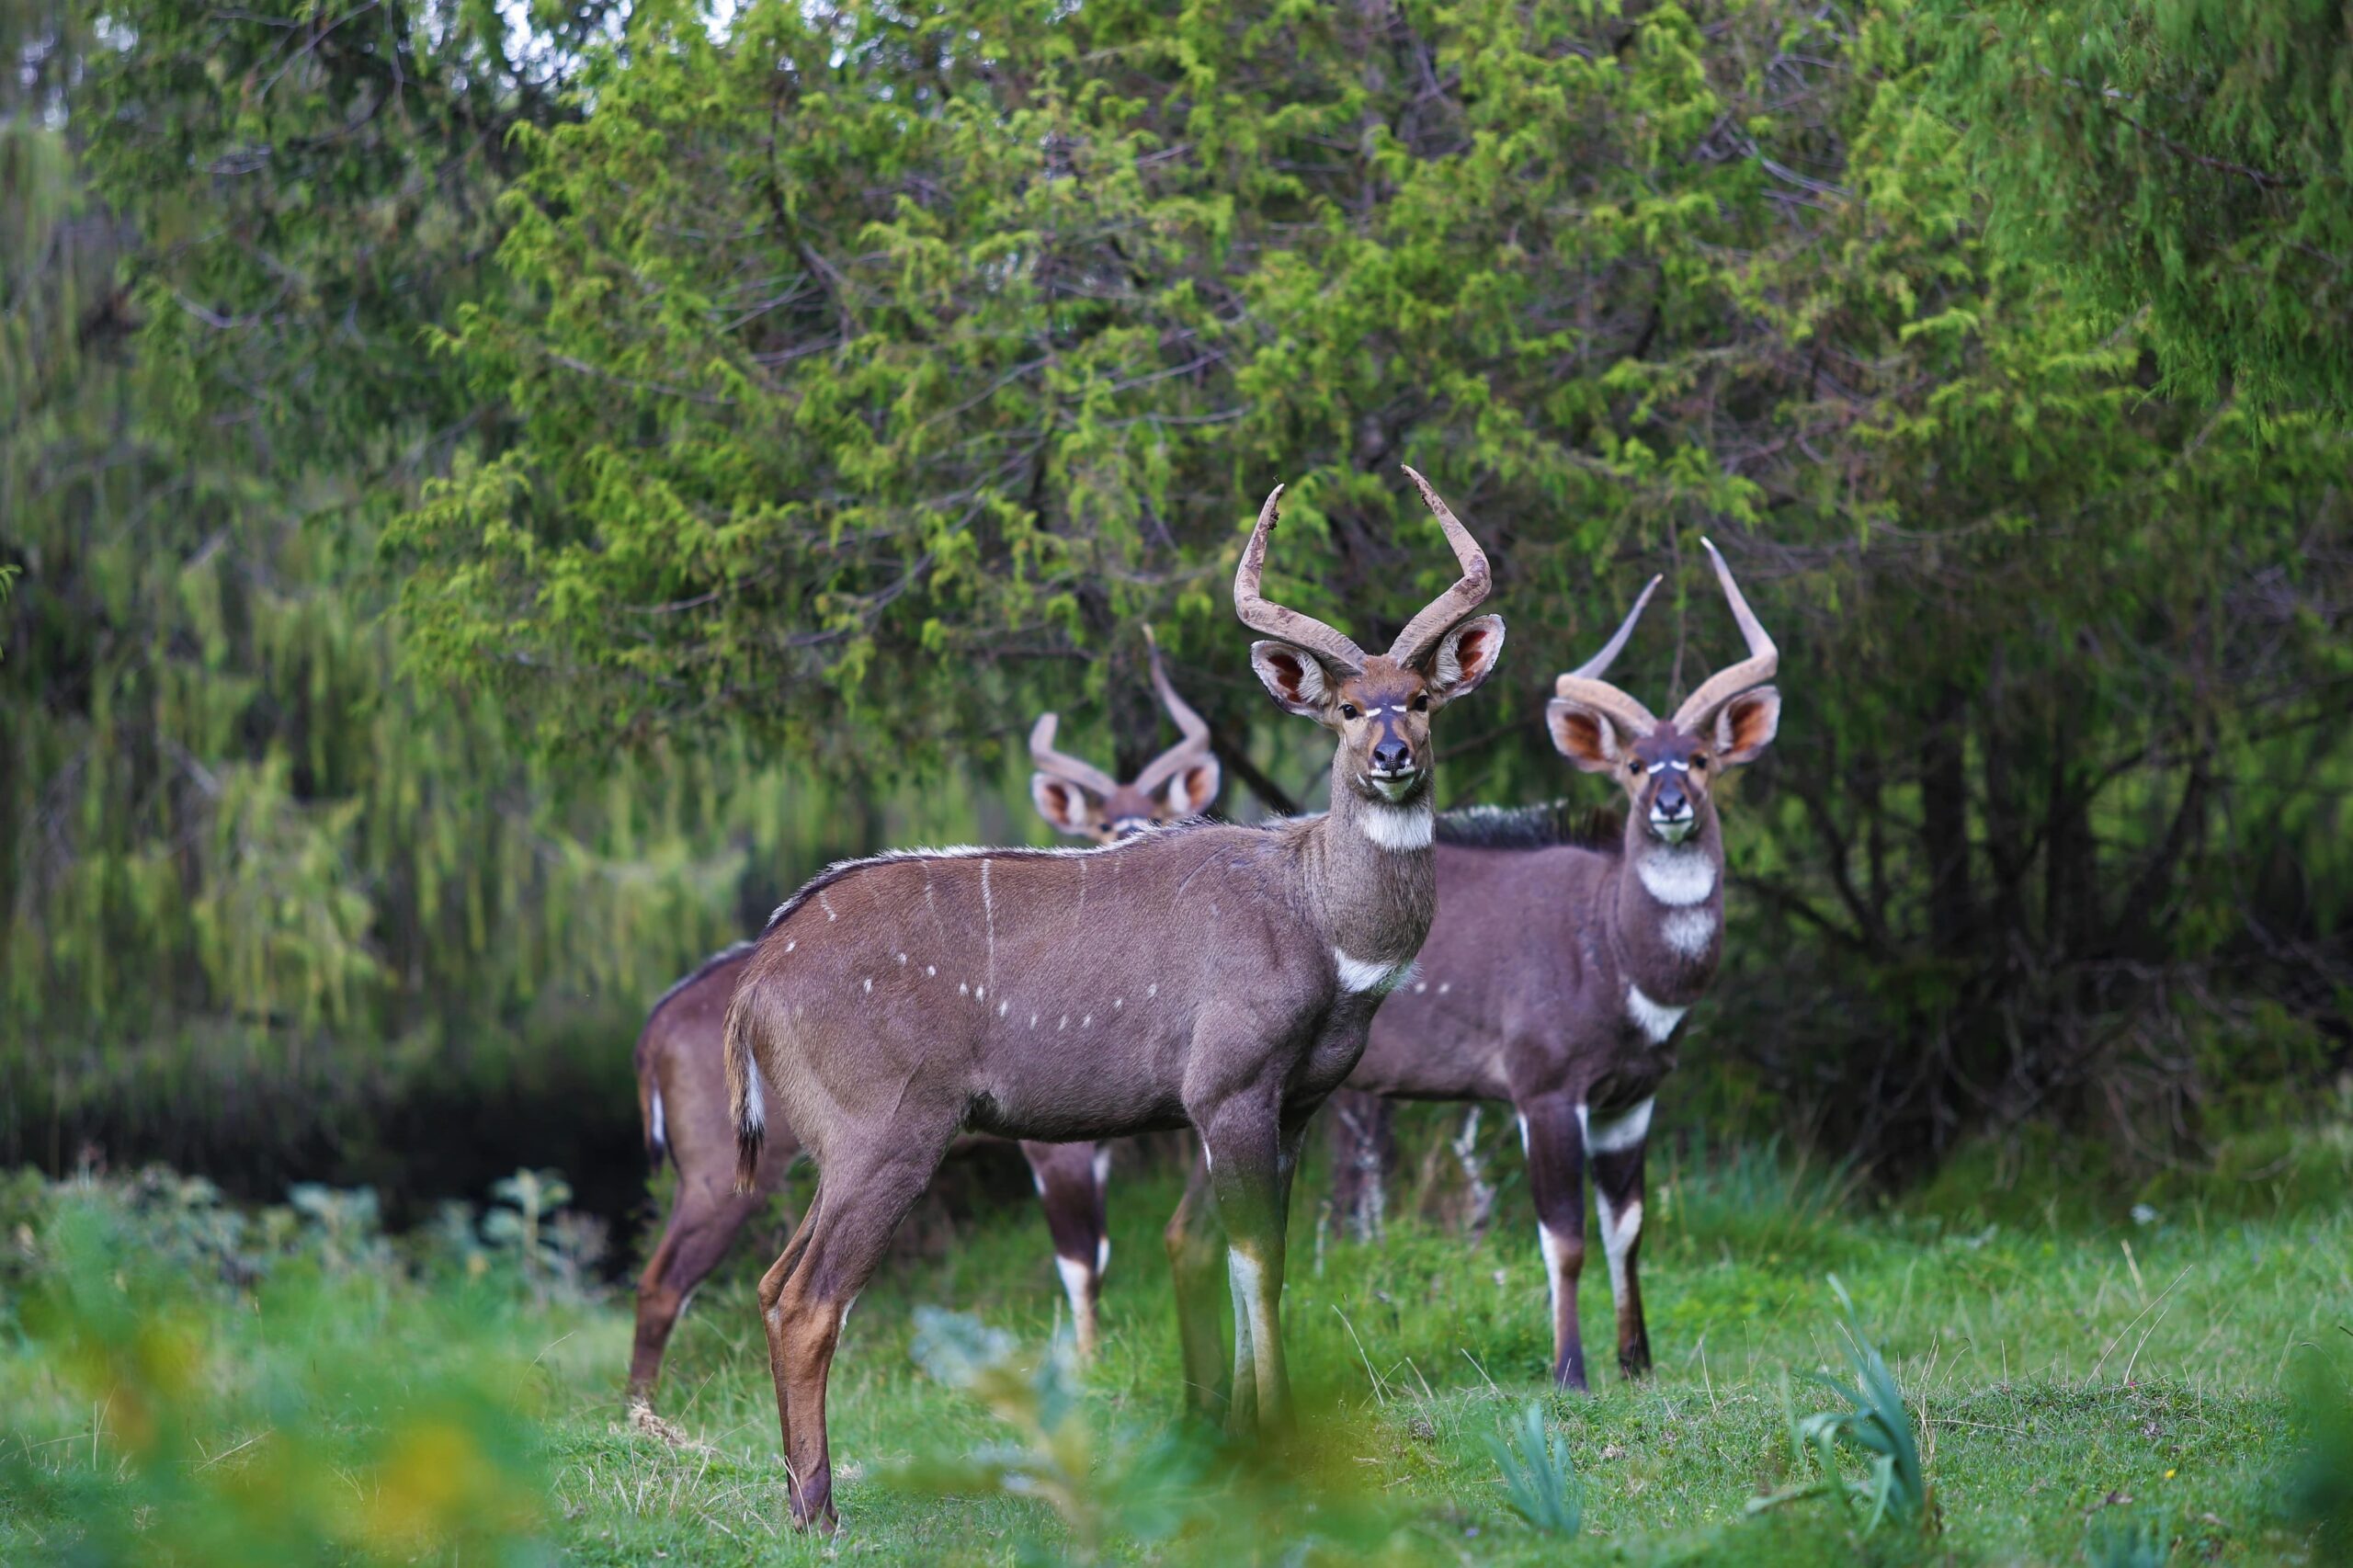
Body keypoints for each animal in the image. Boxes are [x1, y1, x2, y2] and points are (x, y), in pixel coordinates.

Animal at [616, 635, 1242, 1393]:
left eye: (1155, 809)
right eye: (1098, 819)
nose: (1127, 835)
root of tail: (658, 1026)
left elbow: (1101, 1249)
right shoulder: (1051, 1147)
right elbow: (1078, 1258)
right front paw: (1088, 1364)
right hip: (725, 1178)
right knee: (662, 1283)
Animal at [715, 471, 1515, 1516]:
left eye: (1419, 698)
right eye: (1345, 707)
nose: (1393, 756)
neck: (1316, 916)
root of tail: (757, 978)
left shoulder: (1291, 1105)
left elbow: (1241, 1256)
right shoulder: (1229, 1090)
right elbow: (1254, 1260)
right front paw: (1275, 1439)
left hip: (833, 1151)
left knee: (774, 1286)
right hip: (886, 1137)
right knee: (814, 1300)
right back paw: (820, 1509)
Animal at [1308, 534, 1779, 1384]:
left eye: (1699, 759)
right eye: (1634, 765)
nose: (1670, 806)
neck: (1616, 953)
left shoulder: (1631, 1100)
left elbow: (1627, 1228)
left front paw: (1637, 1362)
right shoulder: (1546, 1093)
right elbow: (1563, 1238)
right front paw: (1570, 1372)